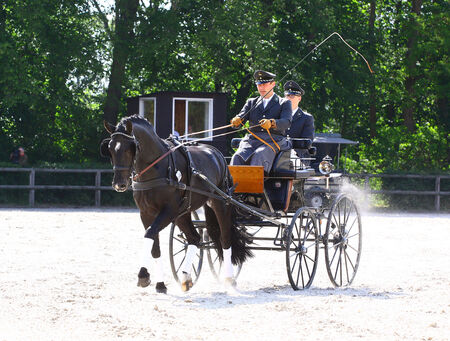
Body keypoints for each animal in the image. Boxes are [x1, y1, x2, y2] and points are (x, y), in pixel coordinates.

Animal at [100, 114, 251, 292]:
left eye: (130, 148)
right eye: (110, 149)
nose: (119, 184)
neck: (158, 167)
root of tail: (217, 154)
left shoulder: (169, 210)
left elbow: (149, 234)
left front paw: (143, 275)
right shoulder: (146, 213)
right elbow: (154, 246)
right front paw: (160, 284)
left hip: (220, 204)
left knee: (225, 238)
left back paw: (229, 279)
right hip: (183, 213)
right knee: (194, 238)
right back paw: (186, 277)